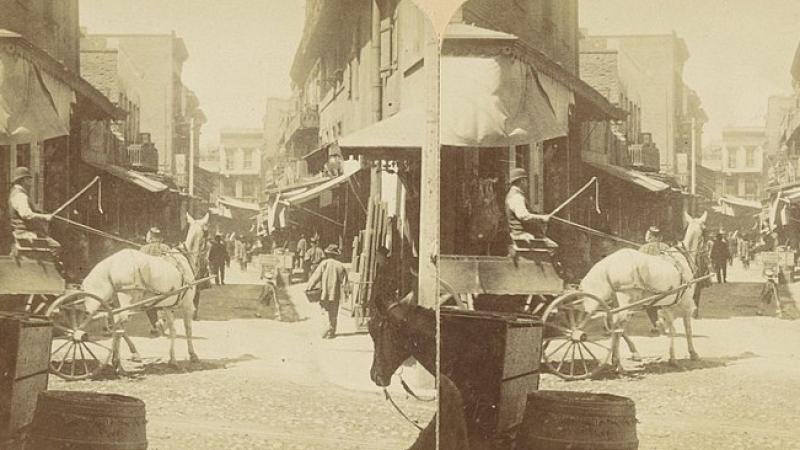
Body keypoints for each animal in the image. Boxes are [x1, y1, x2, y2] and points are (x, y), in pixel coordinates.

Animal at [83, 212, 209, 366]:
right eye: (207, 232)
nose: (206, 262)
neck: (183, 258)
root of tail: (112, 262)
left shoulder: (168, 306)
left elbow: (173, 330)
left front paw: (172, 359)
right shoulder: (187, 305)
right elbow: (188, 329)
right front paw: (192, 355)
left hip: (118, 302)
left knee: (116, 324)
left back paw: (123, 355)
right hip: (130, 300)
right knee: (119, 325)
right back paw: (118, 360)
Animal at [580, 212, 708, 366]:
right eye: (706, 231)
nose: (707, 252)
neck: (682, 257)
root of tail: (608, 263)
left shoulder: (668, 305)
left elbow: (672, 329)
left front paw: (672, 357)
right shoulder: (687, 303)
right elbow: (687, 328)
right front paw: (693, 353)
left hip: (617, 302)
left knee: (616, 324)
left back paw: (623, 356)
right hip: (627, 299)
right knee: (618, 325)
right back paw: (618, 362)